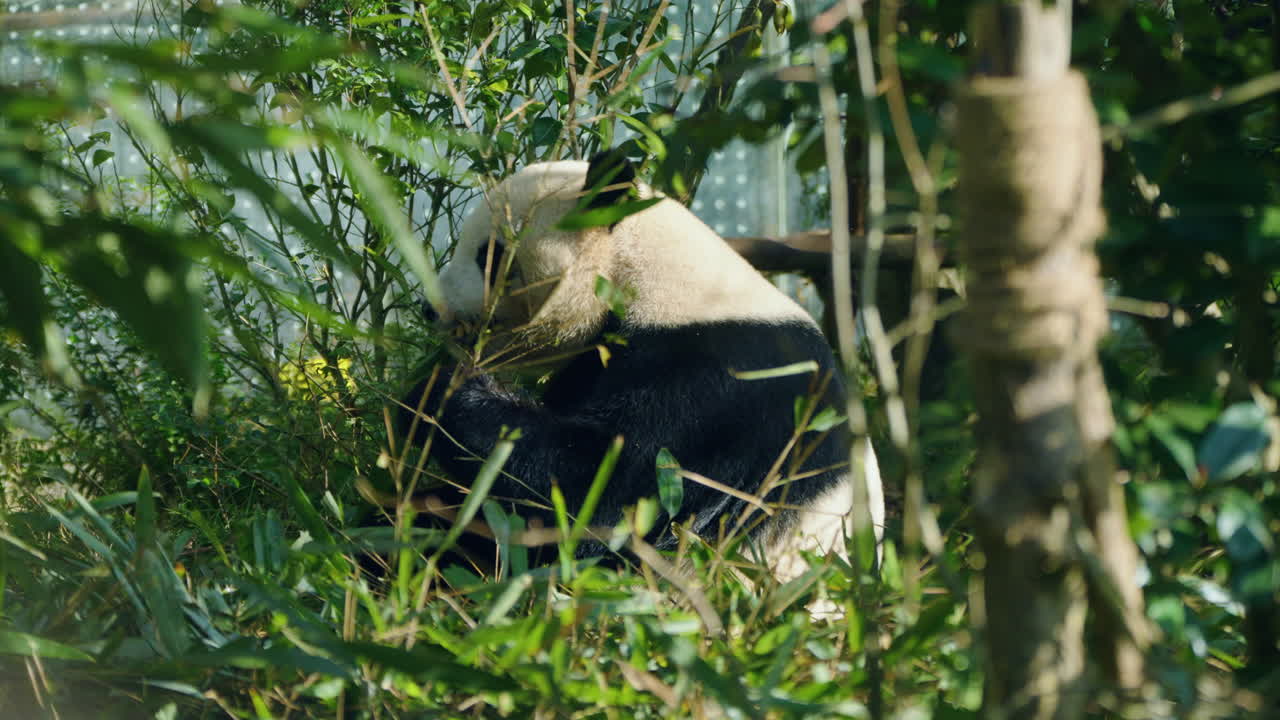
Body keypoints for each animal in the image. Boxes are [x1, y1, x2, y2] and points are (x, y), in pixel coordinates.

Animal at [399, 152, 884, 584]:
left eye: (491, 255)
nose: (430, 309)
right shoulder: (594, 364)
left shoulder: (721, 388)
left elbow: (604, 496)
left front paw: (439, 392)